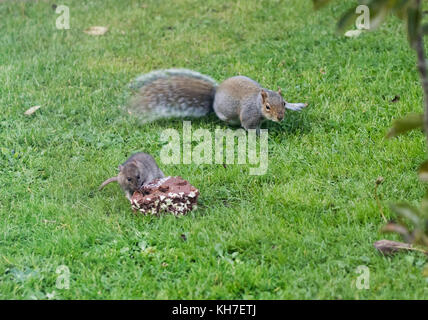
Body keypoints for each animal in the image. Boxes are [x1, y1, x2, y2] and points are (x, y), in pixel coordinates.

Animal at [127, 69, 308, 131]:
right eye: (268, 107)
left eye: (283, 102)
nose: (280, 117)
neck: (257, 103)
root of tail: (215, 94)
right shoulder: (249, 116)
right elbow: (250, 128)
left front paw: (295, 105)